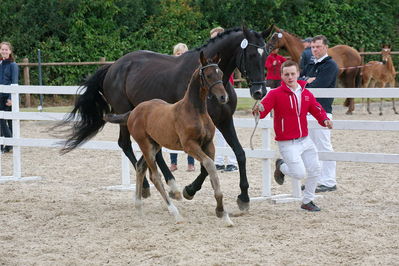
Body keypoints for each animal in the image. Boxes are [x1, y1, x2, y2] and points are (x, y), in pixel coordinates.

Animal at [103, 52, 234, 227]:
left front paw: (223, 213)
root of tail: (133, 112)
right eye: (208, 75)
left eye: (221, 73)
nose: (223, 97)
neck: (196, 110)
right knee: (155, 176)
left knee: (140, 167)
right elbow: (209, 165)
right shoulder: (190, 146)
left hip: (154, 145)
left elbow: (209, 169)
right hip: (146, 145)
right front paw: (220, 211)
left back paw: (139, 206)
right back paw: (175, 212)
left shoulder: (208, 144)